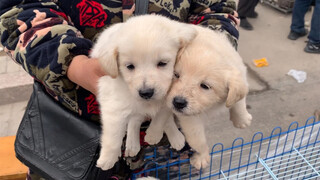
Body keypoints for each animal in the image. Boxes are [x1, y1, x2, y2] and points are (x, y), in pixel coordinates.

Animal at [90, 15, 198, 170]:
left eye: (162, 63)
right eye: (129, 66)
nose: (146, 93)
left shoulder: (169, 99)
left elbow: (162, 117)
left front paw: (154, 134)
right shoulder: (113, 104)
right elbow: (113, 136)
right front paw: (108, 158)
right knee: (133, 121)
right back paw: (132, 144)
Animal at [165, 25, 252, 170]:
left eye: (205, 86)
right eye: (176, 75)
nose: (178, 102)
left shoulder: (240, 74)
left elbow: (239, 100)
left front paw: (242, 119)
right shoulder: (190, 118)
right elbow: (198, 139)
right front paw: (202, 157)